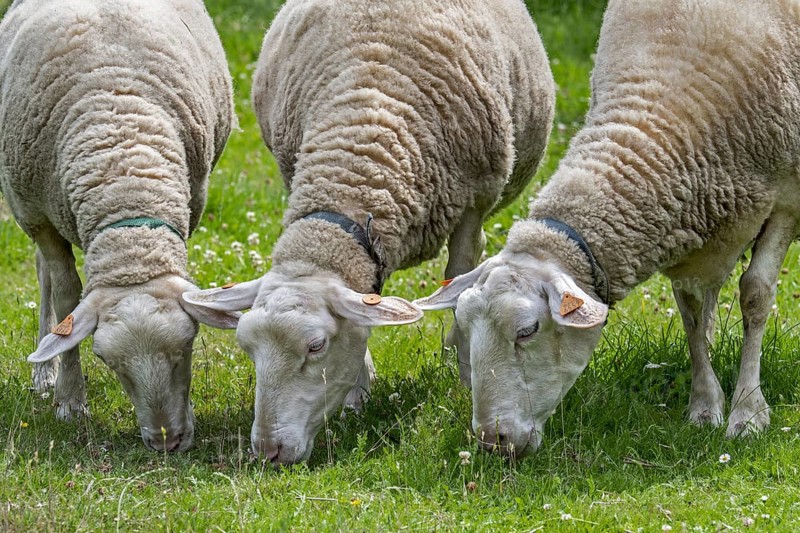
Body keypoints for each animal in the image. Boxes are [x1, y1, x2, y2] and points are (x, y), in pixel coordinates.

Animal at [0, 0, 239, 452]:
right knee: (44, 278)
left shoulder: (192, 200)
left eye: (187, 347)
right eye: (110, 363)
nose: (167, 442)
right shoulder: (38, 218)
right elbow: (66, 297)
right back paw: (44, 373)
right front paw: (70, 400)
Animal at [182, 0, 555, 465]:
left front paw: (467, 370)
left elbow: (459, 278)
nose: (269, 451)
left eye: (315, 347)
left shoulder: (473, 201)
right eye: (248, 348)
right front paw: (357, 393)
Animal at [415, 0, 800, 457]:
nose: (495, 441)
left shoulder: (786, 200)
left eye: (527, 331)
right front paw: (705, 405)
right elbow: (690, 311)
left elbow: (755, 296)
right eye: (464, 328)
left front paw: (747, 412)